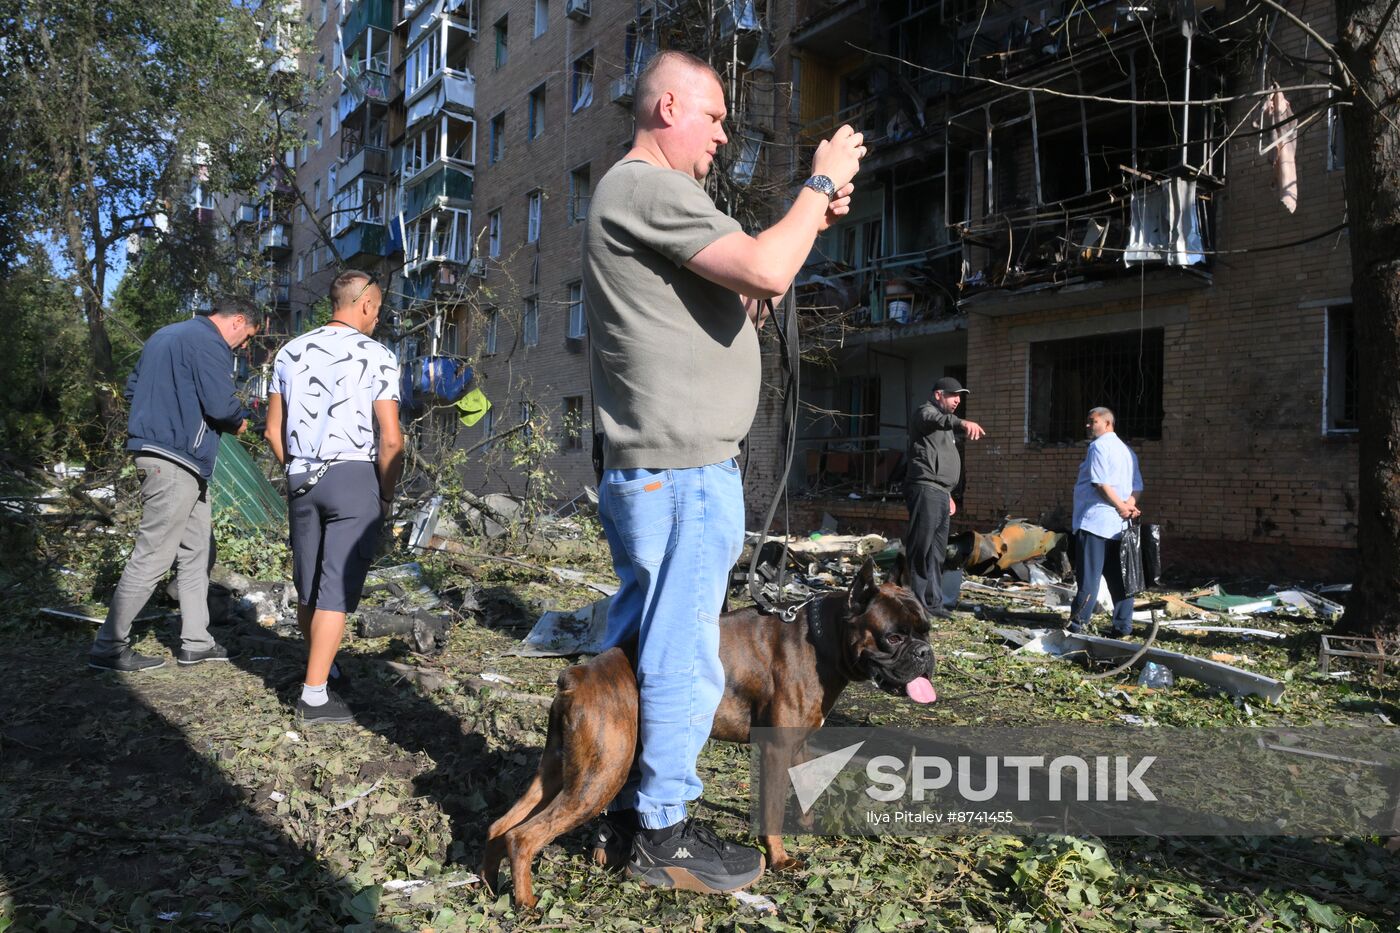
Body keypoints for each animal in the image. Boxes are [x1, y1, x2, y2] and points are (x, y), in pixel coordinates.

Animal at [484, 554, 940, 902]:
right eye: (893, 637)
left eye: (926, 630)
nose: (925, 653)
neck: (822, 638)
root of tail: (576, 676)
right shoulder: (775, 750)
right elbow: (772, 810)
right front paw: (780, 859)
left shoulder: (799, 745)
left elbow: (804, 790)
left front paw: (808, 828)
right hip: (599, 777)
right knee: (525, 836)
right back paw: (527, 905)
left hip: (558, 771)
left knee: (501, 826)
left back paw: (492, 885)